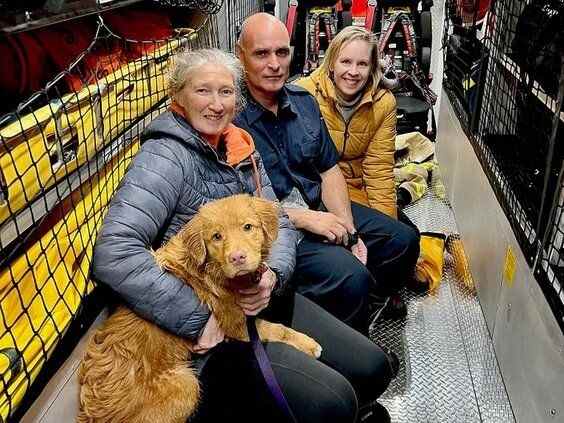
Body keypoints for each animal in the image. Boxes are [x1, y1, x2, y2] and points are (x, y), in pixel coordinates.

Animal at [77, 195, 322, 423]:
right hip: (187, 385)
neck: (211, 268)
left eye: (247, 227)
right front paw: (309, 344)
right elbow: (277, 329)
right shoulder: (236, 326)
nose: (237, 258)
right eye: (216, 237)